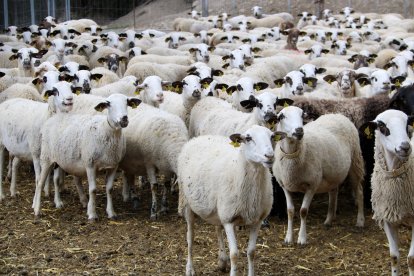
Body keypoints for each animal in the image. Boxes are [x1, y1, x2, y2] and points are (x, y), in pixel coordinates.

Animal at [178, 125, 274, 276]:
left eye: (272, 136)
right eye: (248, 138)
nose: (270, 156)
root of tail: (198, 138)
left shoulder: (257, 220)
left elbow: (251, 252)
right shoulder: (229, 219)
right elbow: (234, 254)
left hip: (219, 208)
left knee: (218, 228)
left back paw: (222, 260)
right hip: (187, 203)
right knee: (190, 236)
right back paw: (190, 268)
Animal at [274, 105, 366, 244]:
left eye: (302, 115)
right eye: (281, 117)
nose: (299, 130)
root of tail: (337, 114)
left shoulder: (312, 184)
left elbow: (303, 211)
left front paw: (302, 238)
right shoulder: (285, 185)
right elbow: (290, 211)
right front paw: (288, 238)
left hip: (355, 161)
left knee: (359, 191)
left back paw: (360, 221)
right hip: (334, 172)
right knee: (334, 191)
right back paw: (329, 219)